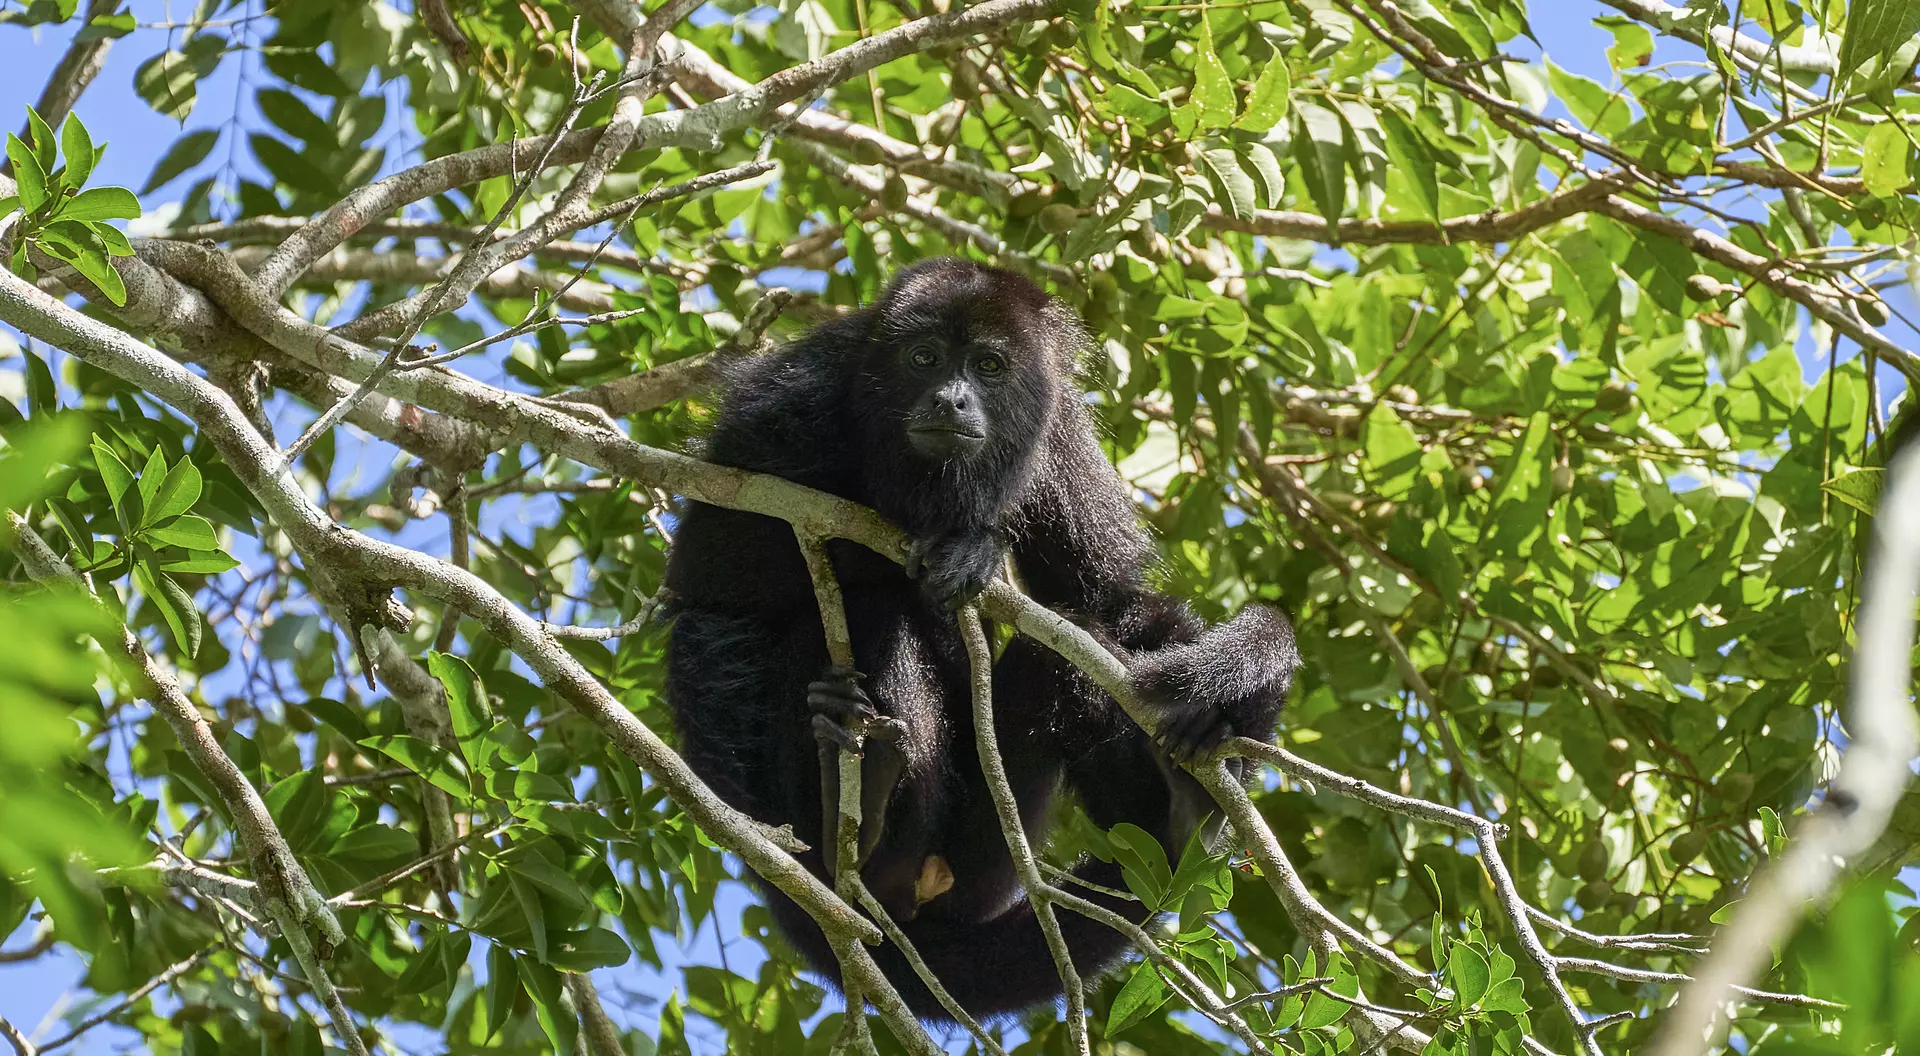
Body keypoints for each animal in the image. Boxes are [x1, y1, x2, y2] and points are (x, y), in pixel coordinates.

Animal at [664, 257, 1299, 1020]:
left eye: (990, 366)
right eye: (925, 358)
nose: (951, 399)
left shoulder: (1059, 433)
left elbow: (1111, 603)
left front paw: (1235, 670)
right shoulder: (787, 405)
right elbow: (714, 584)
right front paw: (968, 547)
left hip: (987, 859)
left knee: (1072, 654)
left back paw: (1185, 808)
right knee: (860, 616)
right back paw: (856, 801)